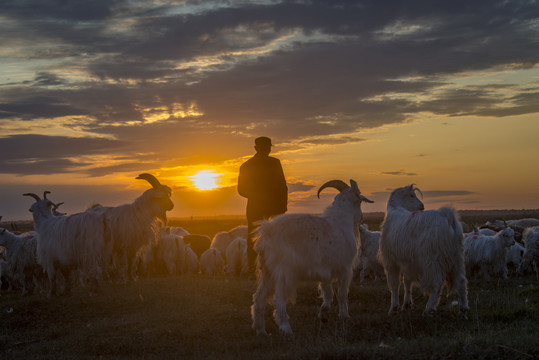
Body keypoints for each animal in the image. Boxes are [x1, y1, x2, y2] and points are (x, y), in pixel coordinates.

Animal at [251, 180, 374, 338]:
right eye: (359, 202)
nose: (362, 218)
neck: (341, 222)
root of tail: (266, 232)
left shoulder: (326, 271)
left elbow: (328, 292)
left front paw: (324, 314)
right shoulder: (345, 269)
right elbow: (342, 294)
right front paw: (345, 316)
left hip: (268, 273)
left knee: (259, 298)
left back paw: (261, 331)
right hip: (285, 273)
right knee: (278, 299)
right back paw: (286, 329)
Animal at [378, 186, 470, 318]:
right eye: (411, 195)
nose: (422, 206)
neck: (395, 209)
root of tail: (448, 218)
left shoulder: (391, 261)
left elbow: (395, 284)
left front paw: (394, 308)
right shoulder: (407, 261)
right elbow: (407, 281)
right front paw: (407, 304)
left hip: (432, 260)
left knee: (437, 283)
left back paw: (428, 309)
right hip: (457, 257)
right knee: (461, 281)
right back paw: (463, 310)